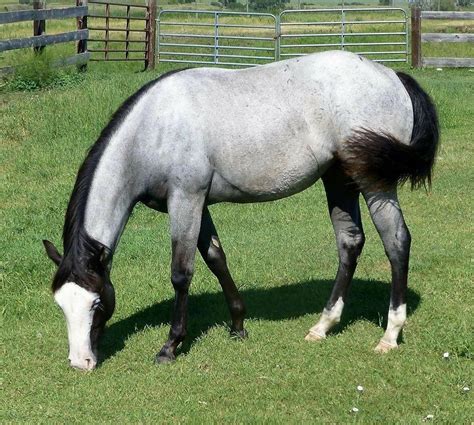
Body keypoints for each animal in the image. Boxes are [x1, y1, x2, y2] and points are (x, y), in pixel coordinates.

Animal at [42, 49, 438, 370]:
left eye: (96, 304)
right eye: (61, 305)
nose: (80, 362)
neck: (151, 129)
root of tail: (391, 75)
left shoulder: (185, 199)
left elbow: (181, 272)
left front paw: (170, 346)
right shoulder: (198, 203)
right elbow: (216, 259)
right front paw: (238, 325)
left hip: (374, 183)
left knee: (397, 242)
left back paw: (389, 335)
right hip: (339, 178)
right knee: (350, 243)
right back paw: (323, 326)